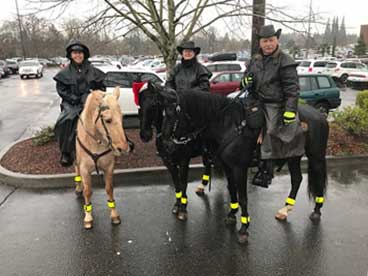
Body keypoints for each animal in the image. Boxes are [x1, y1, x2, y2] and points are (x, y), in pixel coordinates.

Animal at [74, 88, 131, 229]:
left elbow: (109, 189)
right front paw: (88, 217)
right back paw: (78, 187)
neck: (96, 141)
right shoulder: (84, 169)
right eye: (108, 120)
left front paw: (114, 215)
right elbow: (88, 191)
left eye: (122, 117)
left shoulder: (109, 167)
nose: (124, 148)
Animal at [137, 82, 213, 220]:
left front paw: (183, 208)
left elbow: (183, 182)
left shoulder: (184, 160)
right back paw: (202, 186)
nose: (145, 135)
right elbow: (176, 182)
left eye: (154, 105)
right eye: (140, 105)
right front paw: (177, 204)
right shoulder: (168, 161)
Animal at [157, 84, 328, 244]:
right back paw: (285, 210)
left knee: (318, 178)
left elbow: (243, 197)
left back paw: (317, 211)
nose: (166, 145)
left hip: (316, 157)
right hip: (293, 157)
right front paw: (232, 214)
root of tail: (319, 115)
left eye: (173, 114)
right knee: (297, 179)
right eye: (162, 113)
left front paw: (244, 228)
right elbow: (232, 190)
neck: (229, 126)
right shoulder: (228, 167)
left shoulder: (240, 169)